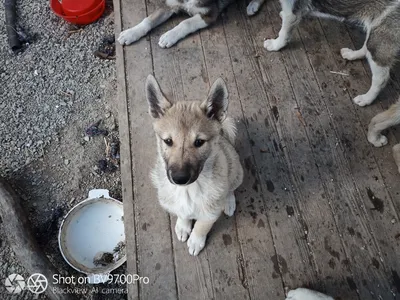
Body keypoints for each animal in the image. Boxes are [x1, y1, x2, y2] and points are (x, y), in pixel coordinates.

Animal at [119, 0, 266, 47]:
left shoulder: (210, 14)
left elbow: (186, 23)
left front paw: (169, 36)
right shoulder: (169, 5)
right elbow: (148, 20)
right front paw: (130, 33)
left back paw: (253, 6)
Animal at [145, 74, 242, 254]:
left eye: (199, 142)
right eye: (168, 141)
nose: (179, 178)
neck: (188, 190)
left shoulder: (211, 212)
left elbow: (202, 226)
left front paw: (196, 241)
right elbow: (183, 213)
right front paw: (183, 226)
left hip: (236, 170)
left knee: (231, 188)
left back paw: (229, 202)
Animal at [264, 0, 398, 107]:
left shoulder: (292, 12)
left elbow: (283, 32)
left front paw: (275, 45)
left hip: (381, 36)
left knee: (381, 78)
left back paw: (366, 99)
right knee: (366, 47)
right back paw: (352, 54)